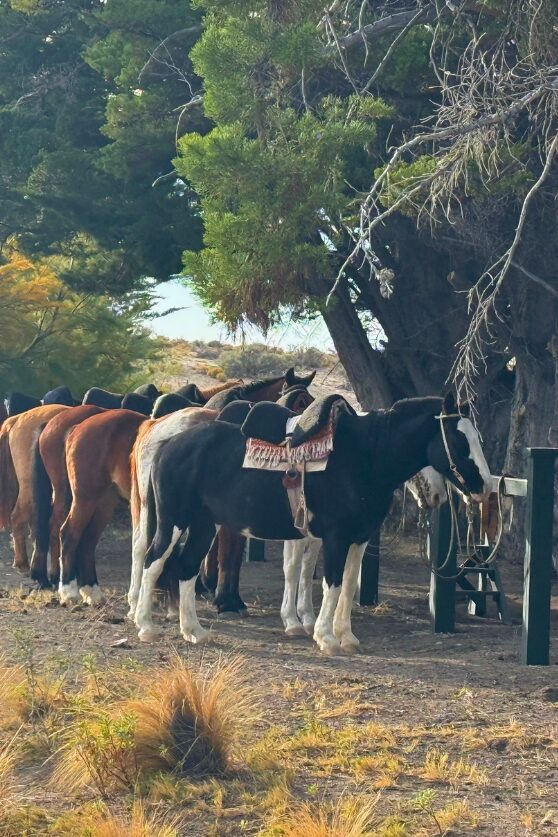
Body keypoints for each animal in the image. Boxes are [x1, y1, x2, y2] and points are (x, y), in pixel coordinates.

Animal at [134, 392, 491, 654]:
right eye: (460, 441)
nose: (484, 486)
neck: (363, 457)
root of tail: (169, 444)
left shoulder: (360, 538)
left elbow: (347, 583)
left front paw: (346, 636)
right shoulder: (335, 537)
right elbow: (330, 583)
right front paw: (325, 637)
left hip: (204, 526)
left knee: (186, 569)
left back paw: (193, 631)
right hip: (173, 521)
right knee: (153, 561)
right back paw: (146, 626)